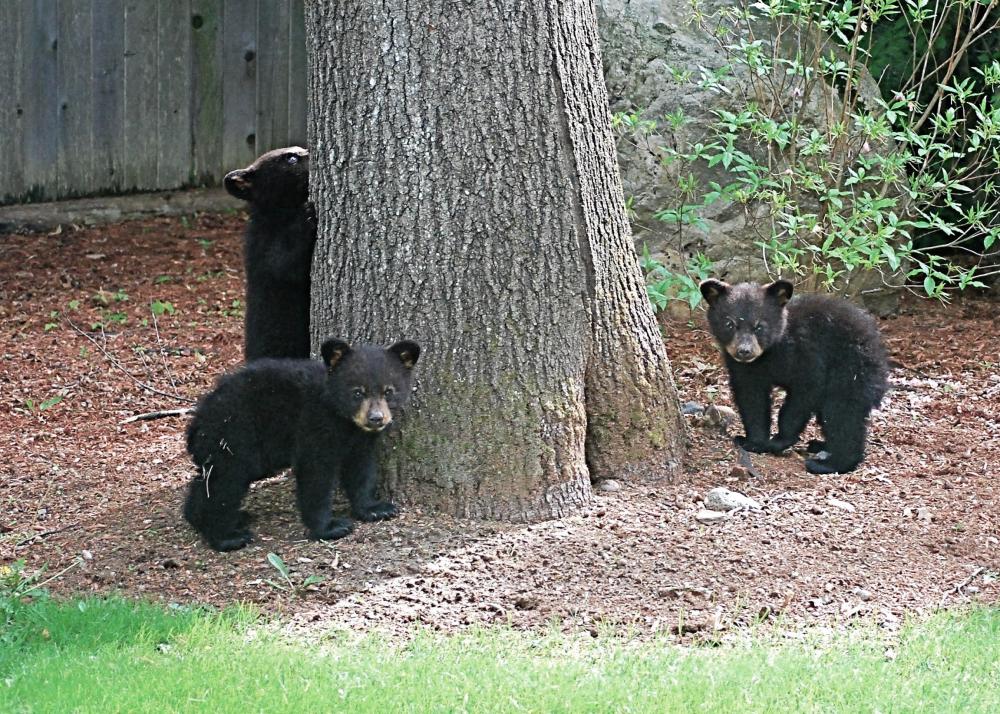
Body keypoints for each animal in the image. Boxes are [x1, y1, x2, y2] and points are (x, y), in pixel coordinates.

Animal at [183, 338, 420, 552]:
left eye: (388, 391)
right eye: (357, 392)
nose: (376, 418)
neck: (343, 420)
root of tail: (198, 421)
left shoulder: (360, 440)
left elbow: (361, 469)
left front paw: (375, 508)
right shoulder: (314, 424)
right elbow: (316, 475)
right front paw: (331, 527)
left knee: (208, 480)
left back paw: (205, 517)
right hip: (235, 436)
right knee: (226, 482)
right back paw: (227, 537)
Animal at [699, 279, 888, 474]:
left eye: (759, 326)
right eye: (730, 324)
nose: (744, 351)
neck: (771, 352)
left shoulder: (806, 355)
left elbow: (804, 393)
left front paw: (780, 440)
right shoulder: (746, 369)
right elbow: (752, 399)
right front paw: (753, 442)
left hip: (850, 371)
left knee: (842, 413)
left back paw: (830, 463)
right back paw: (820, 445)